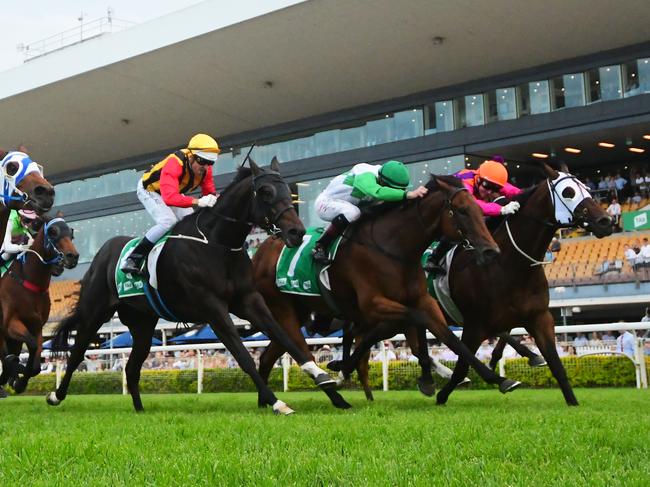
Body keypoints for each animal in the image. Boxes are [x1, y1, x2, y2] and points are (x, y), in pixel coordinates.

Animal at [0, 215, 78, 394]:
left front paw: (19, 382)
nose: (72, 256)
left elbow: (35, 360)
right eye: (53, 232)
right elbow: (30, 347)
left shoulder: (37, 326)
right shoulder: (10, 323)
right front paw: (17, 375)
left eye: (71, 233)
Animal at [47, 161, 334, 416]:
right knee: (77, 353)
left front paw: (325, 381)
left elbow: (286, 338)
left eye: (287, 189)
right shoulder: (213, 308)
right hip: (94, 313)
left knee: (132, 367)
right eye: (265, 192)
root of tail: (103, 253)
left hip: (142, 324)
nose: (296, 231)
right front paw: (277, 403)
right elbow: (243, 355)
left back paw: (139, 409)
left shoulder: (248, 300)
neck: (217, 243)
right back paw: (55, 396)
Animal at [251, 173, 520, 410]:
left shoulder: (422, 300)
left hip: (295, 314)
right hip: (283, 309)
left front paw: (498, 379)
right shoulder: (374, 304)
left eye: (479, 210)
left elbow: (450, 338)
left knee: (267, 357)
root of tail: (260, 252)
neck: (393, 248)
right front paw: (427, 376)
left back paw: (266, 401)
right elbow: (417, 321)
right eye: (462, 211)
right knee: (299, 350)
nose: (490, 251)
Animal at [432, 165, 612, 408]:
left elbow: (556, 364)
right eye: (568, 192)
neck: (510, 265)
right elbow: (461, 367)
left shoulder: (539, 317)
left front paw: (572, 402)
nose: (605, 221)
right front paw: (442, 395)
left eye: (587, 188)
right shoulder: (473, 326)